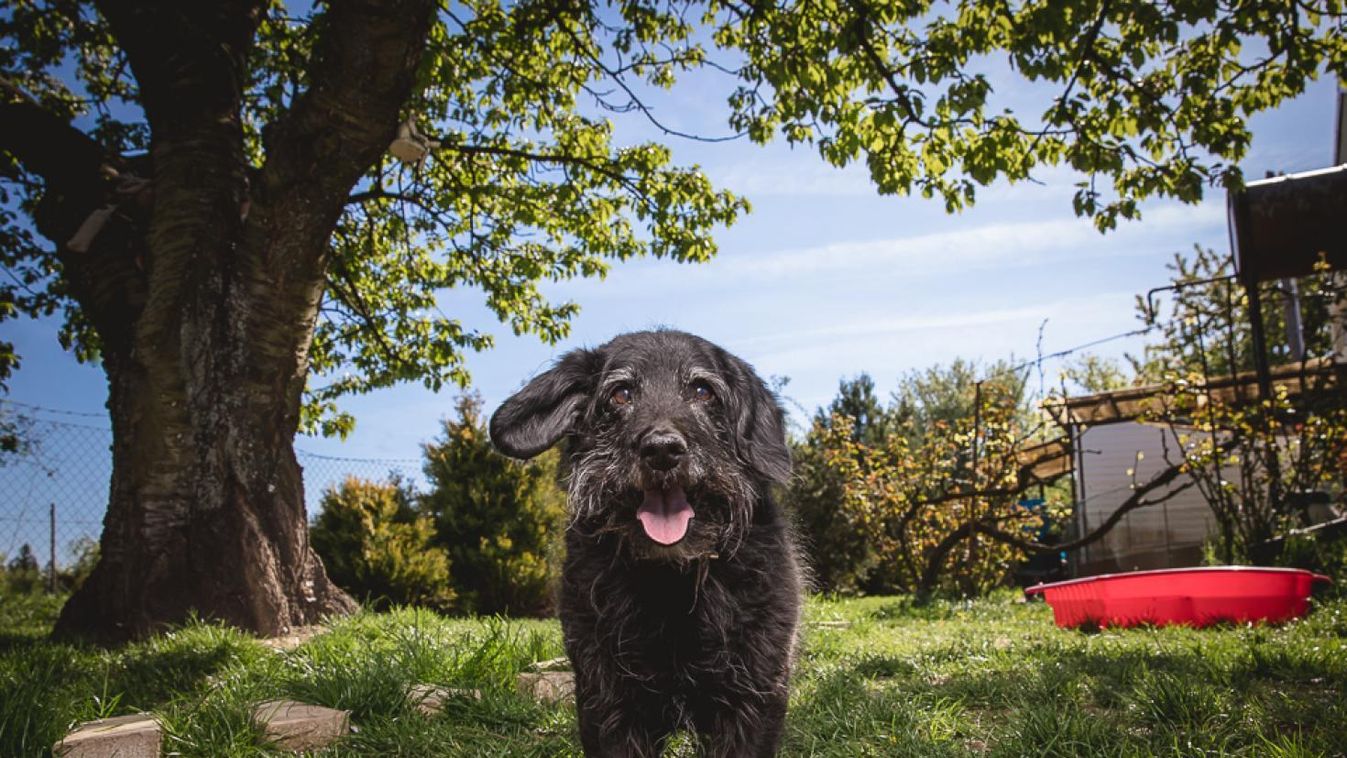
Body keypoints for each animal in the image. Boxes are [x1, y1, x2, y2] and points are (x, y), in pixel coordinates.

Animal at [493, 332, 797, 758]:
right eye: (621, 393)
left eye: (702, 391)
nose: (662, 449)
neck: (672, 580)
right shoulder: (607, 699)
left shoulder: (754, 694)